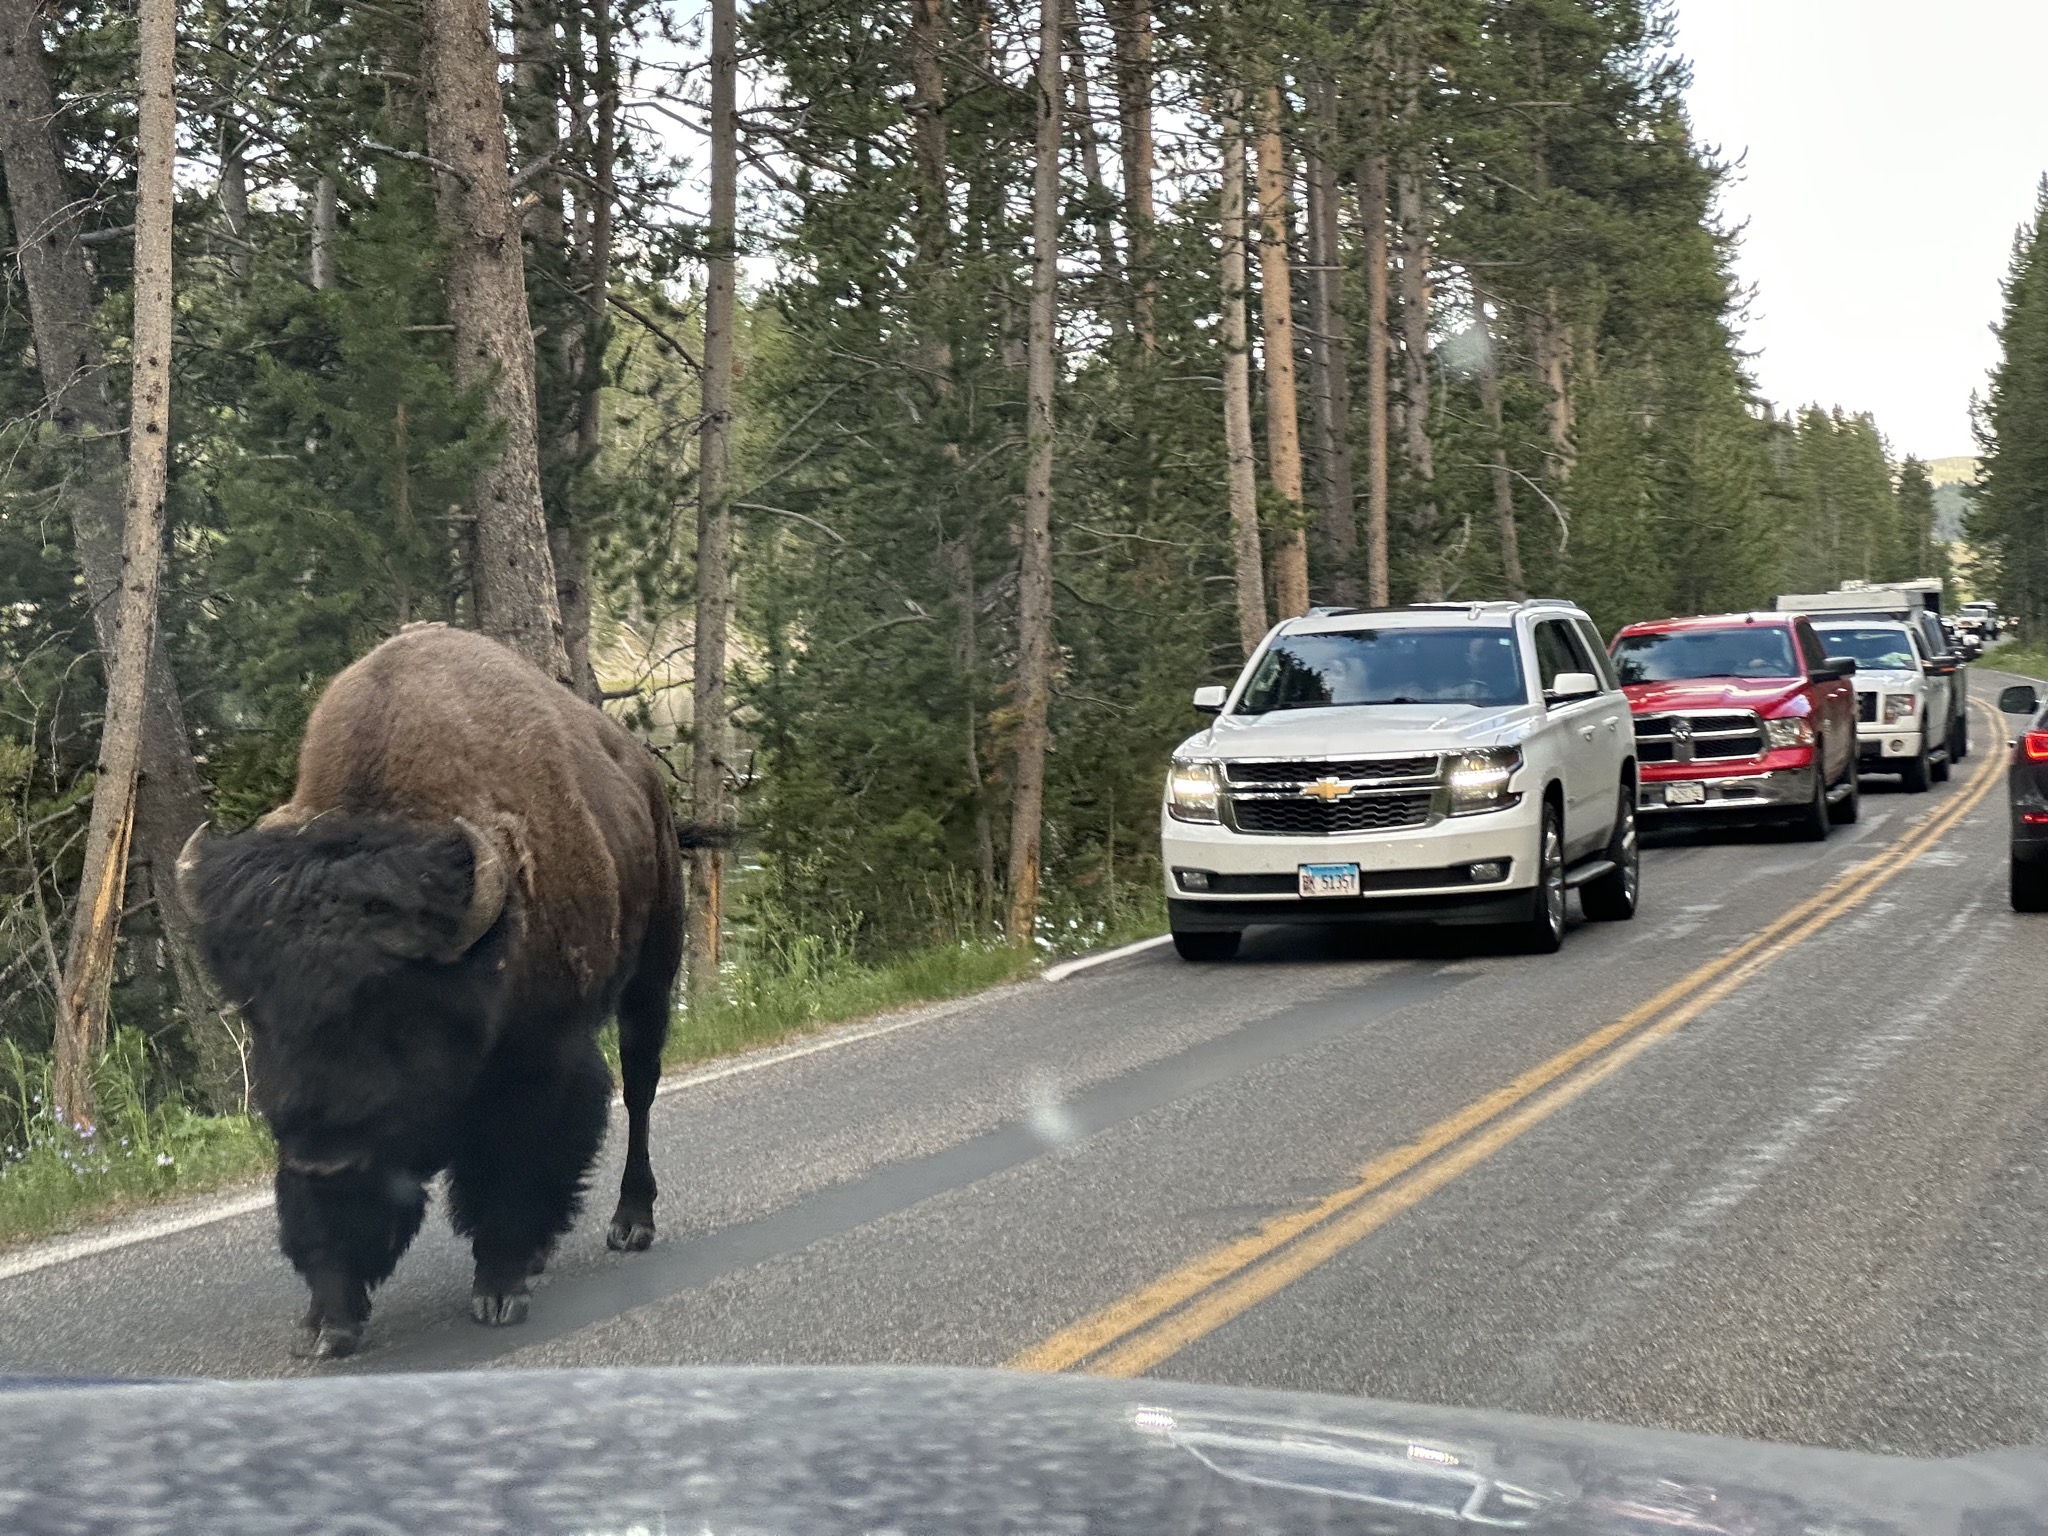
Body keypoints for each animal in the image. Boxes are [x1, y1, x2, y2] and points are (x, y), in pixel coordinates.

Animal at [178, 624, 685, 1358]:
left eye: (391, 1005)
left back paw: (630, 1222)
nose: (325, 1159)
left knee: (641, 1091)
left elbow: (511, 1173)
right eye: (256, 1011)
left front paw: (499, 1292)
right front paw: (328, 1322)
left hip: (652, 977)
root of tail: (644, 777)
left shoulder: (538, 1066)